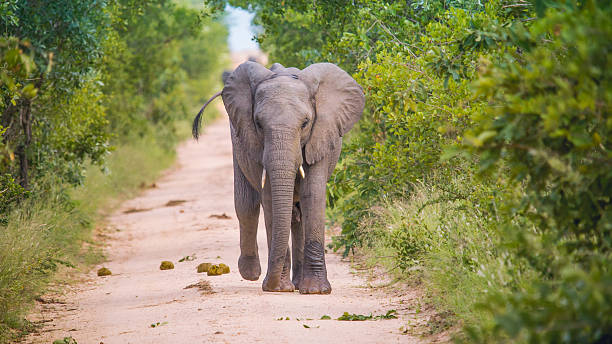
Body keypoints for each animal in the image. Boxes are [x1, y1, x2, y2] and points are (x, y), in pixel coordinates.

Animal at [192, 60, 364, 294]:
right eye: (258, 124)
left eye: (305, 123)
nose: (269, 284)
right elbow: (270, 199)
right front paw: (280, 288)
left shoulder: (321, 136)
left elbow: (313, 195)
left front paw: (316, 291)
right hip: (238, 143)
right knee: (247, 204)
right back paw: (252, 273)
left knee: (296, 213)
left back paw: (299, 284)